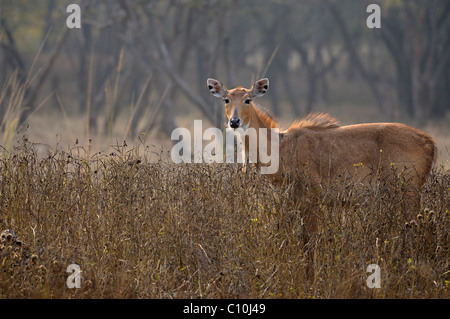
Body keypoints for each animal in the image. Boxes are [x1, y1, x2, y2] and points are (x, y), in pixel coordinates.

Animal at [208, 78, 440, 222]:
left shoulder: (312, 195)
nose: (234, 121)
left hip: (408, 191)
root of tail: (430, 142)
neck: (279, 146)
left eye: (248, 99)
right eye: (226, 99)